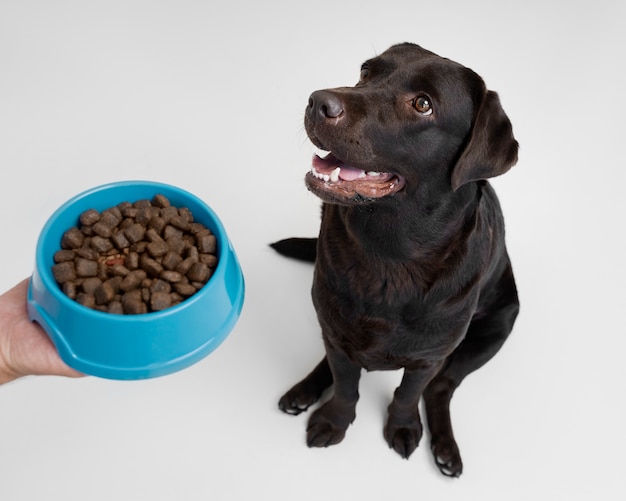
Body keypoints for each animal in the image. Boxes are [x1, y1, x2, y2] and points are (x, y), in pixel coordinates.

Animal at [270, 44, 520, 476]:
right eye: (366, 73)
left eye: (423, 104)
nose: (318, 101)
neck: (391, 253)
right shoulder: (338, 335)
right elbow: (346, 384)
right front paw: (334, 421)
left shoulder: (427, 358)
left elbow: (408, 393)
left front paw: (402, 427)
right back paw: (304, 391)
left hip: (496, 328)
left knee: (440, 389)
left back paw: (446, 450)